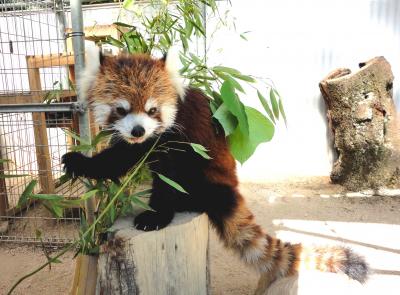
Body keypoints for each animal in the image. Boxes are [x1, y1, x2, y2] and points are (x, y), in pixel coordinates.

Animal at [62, 48, 368, 290]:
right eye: (121, 110)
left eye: (152, 110)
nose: (138, 130)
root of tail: (228, 189)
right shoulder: (136, 143)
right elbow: (118, 157)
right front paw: (80, 163)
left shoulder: (180, 136)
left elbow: (168, 177)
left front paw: (157, 215)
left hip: (205, 175)